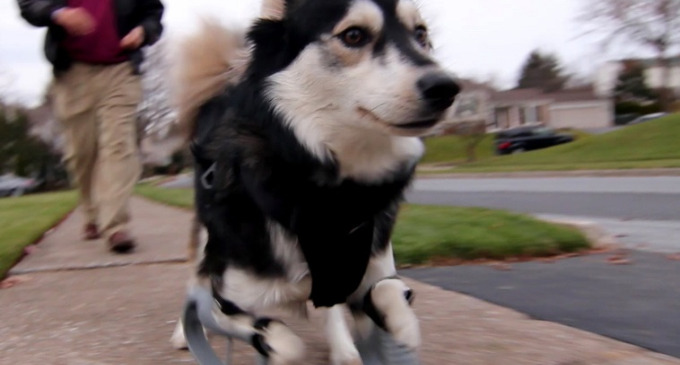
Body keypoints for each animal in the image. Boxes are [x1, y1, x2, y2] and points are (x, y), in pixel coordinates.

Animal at [169, 0, 462, 362]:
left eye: (420, 34)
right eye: (354, 35)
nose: (446, 87)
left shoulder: (368, 269)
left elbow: (387, 289)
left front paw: (401, 326)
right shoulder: (225, 300)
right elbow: (281, 340)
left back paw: (344, 348)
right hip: (206, 242)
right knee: (193, 285)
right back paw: (183, 332)